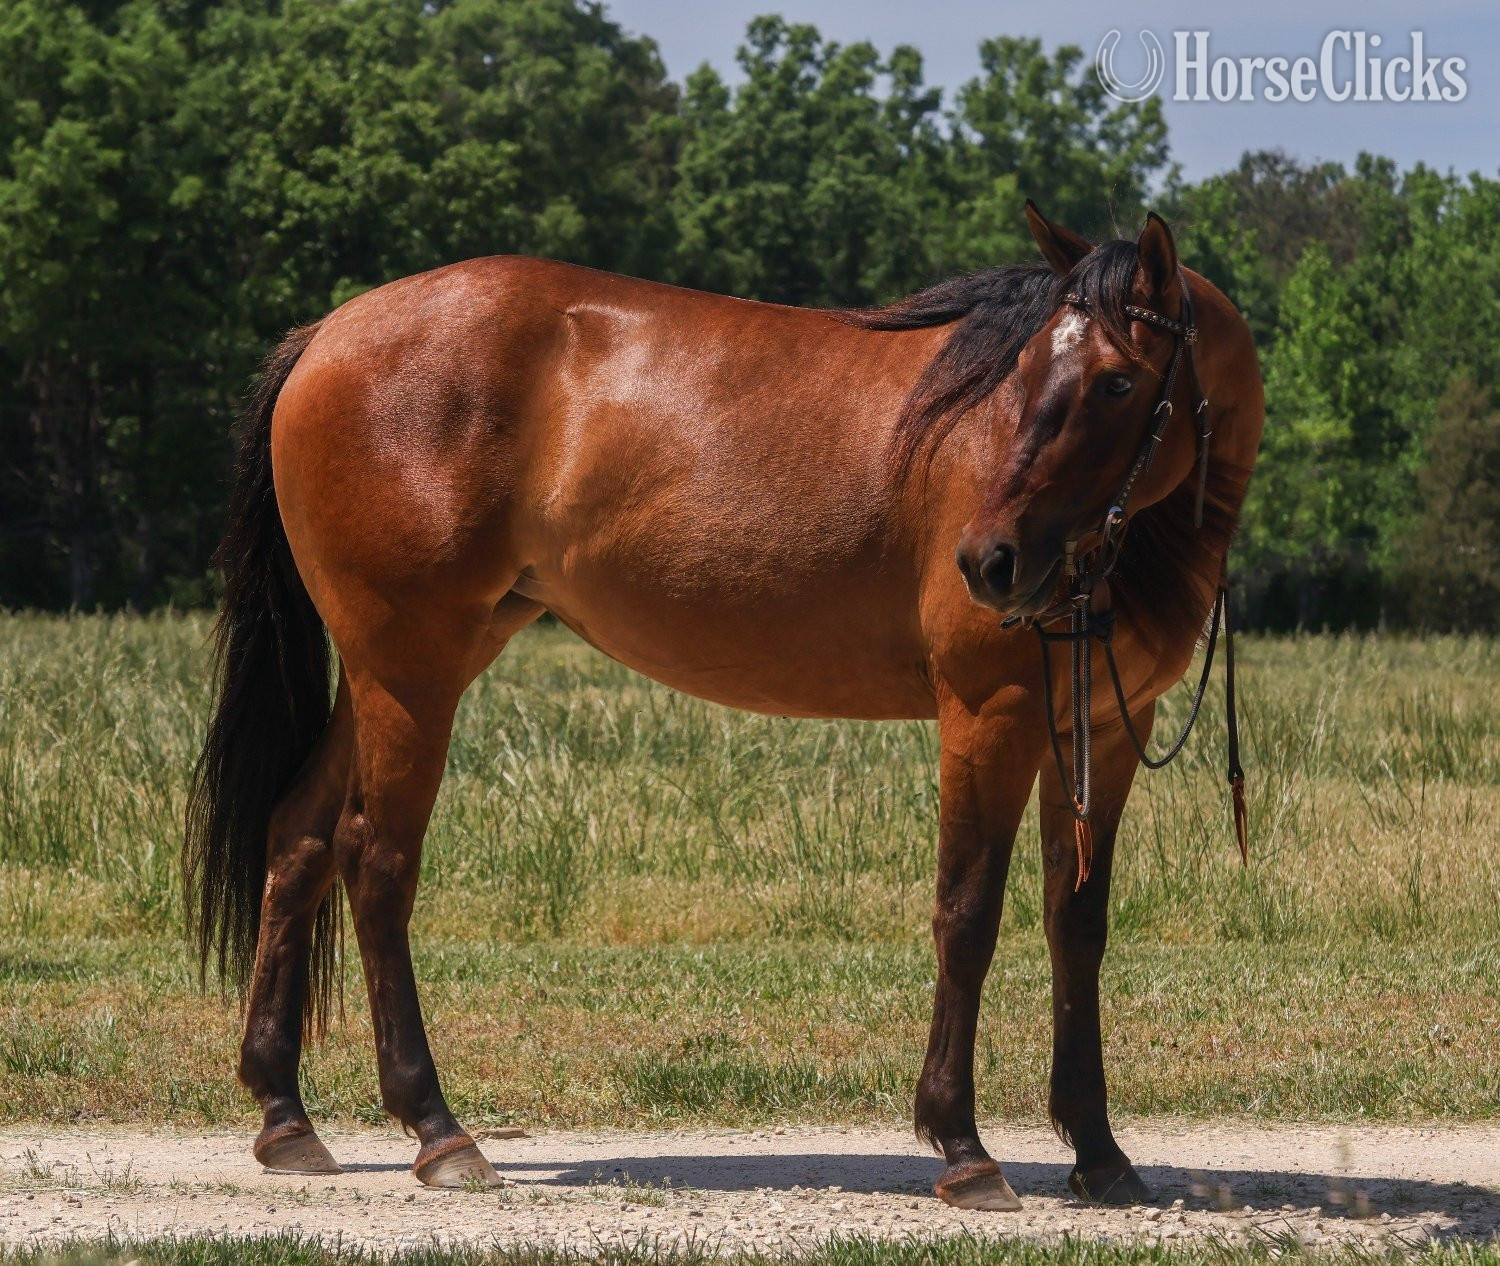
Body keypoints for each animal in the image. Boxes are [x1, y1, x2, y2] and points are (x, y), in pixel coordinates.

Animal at [184, 204, 1262, 1210]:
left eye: (1117, 381)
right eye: (1029, 365)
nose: (990, 561)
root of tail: (328, 333)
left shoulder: (1105, 732)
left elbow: (1077, 927)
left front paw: (1100, 1151)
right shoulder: (987, 716)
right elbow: (967, 915)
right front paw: (962, 1145)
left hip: (402, 667)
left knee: (299, 838)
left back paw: (285, 1113)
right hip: (411, 669)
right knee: (377, 863)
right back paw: (438, 1128)